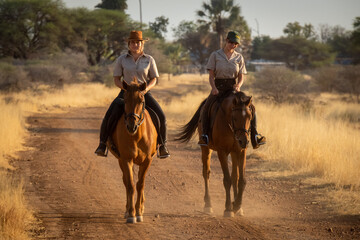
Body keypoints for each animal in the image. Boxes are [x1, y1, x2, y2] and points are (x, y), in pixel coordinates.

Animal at [107, 79, 158, 223]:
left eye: (141, 100)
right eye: (124, 100)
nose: (131, 126)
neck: (137, 135)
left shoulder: (147, 160)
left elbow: (140, 184)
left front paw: (139, 212)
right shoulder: (126, 159)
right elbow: (130, 185)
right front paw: (131, 214)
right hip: (120, 160)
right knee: (125, 181)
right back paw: (127, 210)